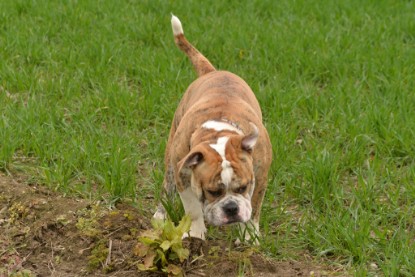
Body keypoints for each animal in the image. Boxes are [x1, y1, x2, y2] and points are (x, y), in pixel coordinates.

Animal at [154, 15, 272, 243]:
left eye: (243, 187)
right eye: (212, 192)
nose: (231, 208)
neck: (218, 132)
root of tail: (213, 72)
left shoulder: (260, 175)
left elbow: (254, 207)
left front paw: (249, 237)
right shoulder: (183, 176)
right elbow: (192, 208)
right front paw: (196, 233)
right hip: (171, 159)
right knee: (167, 186)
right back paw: (160, 215)